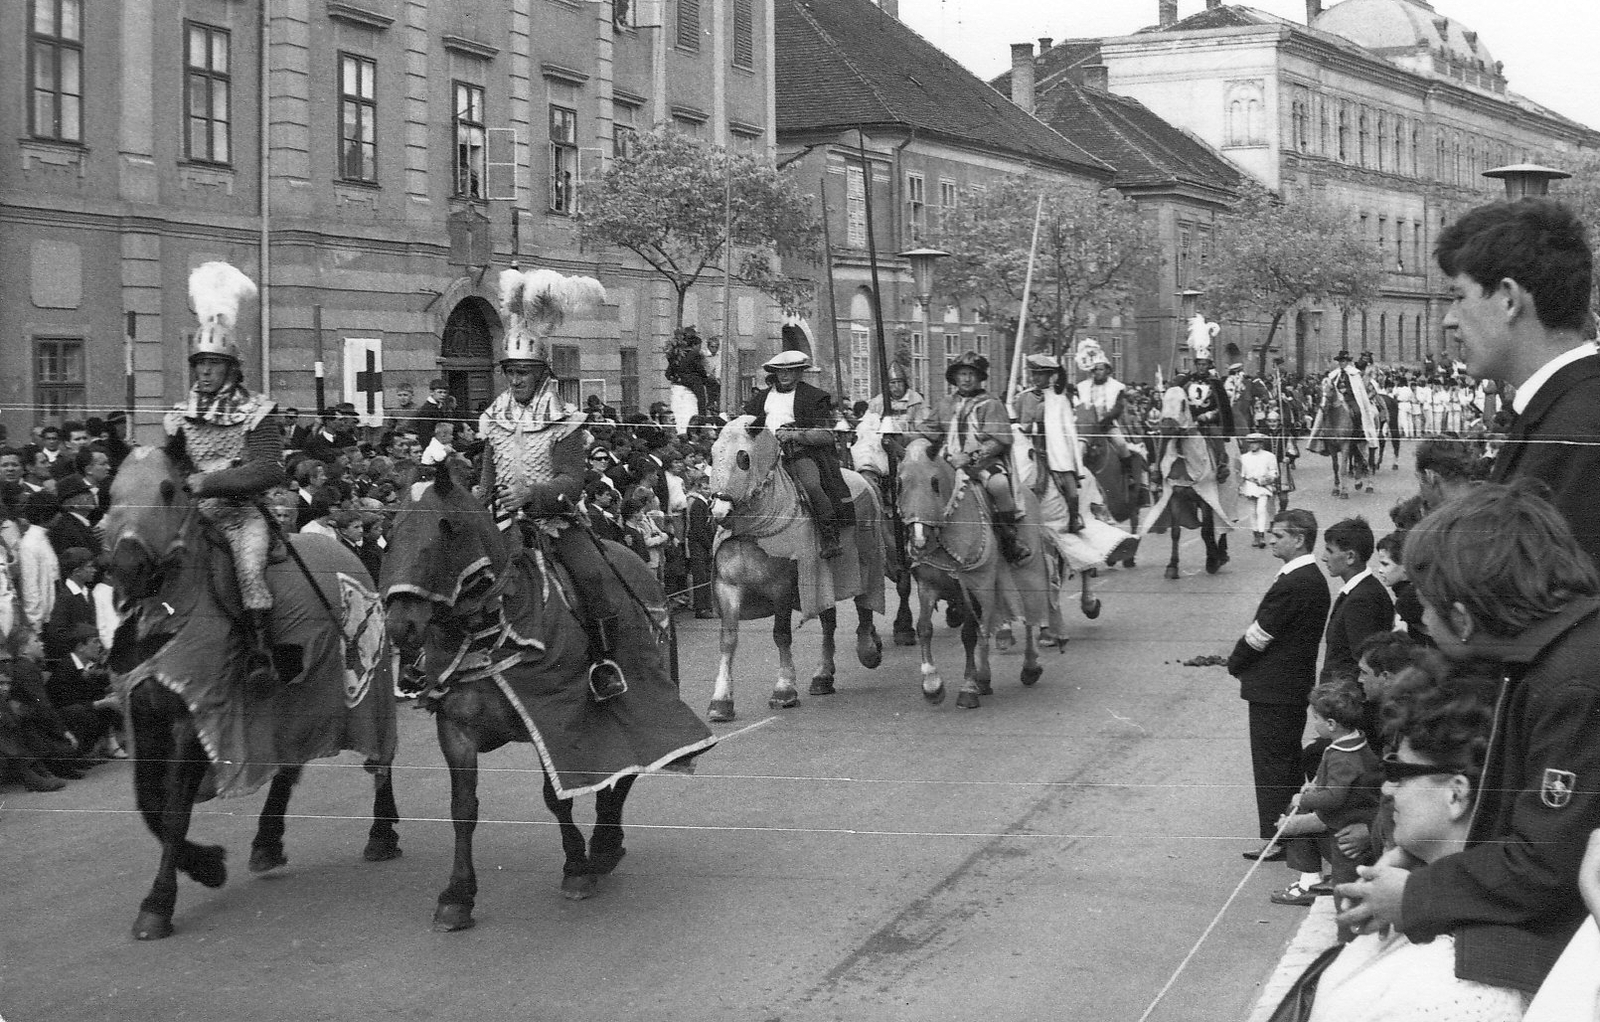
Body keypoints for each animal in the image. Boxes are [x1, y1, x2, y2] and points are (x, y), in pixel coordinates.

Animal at [104, 447, 400, 946]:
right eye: (110, 493)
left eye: (170, 489)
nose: (128, 568)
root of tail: (342, 549)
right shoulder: (144, 718)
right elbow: (150, 805)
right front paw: (206, 866)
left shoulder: (196, 717)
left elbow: (173, 810)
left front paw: (159, 904)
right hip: (296, 700)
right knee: (290, 764)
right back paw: (267, 842)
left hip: (366, 687)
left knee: (379, 757)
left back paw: (381, 834)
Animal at [380, 467, 713, 934]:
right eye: (392, 530)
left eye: (448, 527)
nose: (401, 625)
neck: (491, 629)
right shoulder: (456, 730)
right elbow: (462, 808)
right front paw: (457, 896)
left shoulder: (555, 716)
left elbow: (556, 797)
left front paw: (576, 868)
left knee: (629, 769)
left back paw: (604, 845)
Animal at [710, 412, 889, 719]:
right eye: (712, 454)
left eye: (743, 458)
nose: (719, 511)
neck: (752, 531)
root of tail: (862, 478)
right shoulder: (728, 585)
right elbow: (728, 640)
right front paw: (721, 701)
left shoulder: (782, 585)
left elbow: (781, 635)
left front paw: (784, 690)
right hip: (823, 580)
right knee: (829, 623)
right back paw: (823, 676)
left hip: (868, 560)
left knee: (864, 604)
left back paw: (868, 648)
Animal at [896, 441, 1056, 710]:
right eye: (899, 483)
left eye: (935, 482)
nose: (918, 540)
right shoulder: (928, 585)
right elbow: (924, 628)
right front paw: (932, 685)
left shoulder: (971, 587)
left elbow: (968, 635)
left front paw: (968, 688)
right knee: (988, 626)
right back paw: (985, 678)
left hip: (1028, 572)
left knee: (1029, 619)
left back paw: (1030, 667)